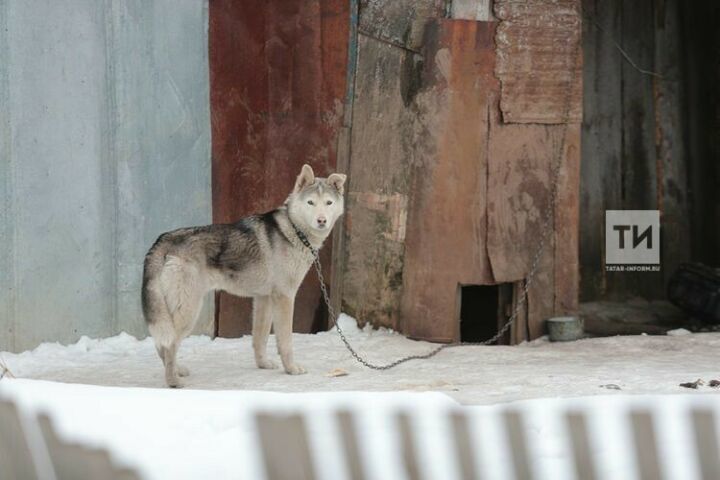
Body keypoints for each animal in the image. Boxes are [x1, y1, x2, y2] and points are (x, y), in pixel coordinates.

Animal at [143, 164, 346, 386]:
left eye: (328, 203)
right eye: (311, 203)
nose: (321, 221)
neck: (294, 230)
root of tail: (163, 240)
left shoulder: (264, 299)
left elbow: (260, 339)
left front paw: (263, 364)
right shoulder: (284, 298)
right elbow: (285, 342)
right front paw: (291, 369)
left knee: (161, 344)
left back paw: (177, 371)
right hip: (188, 311)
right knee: (169, 344)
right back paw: (173, 381)